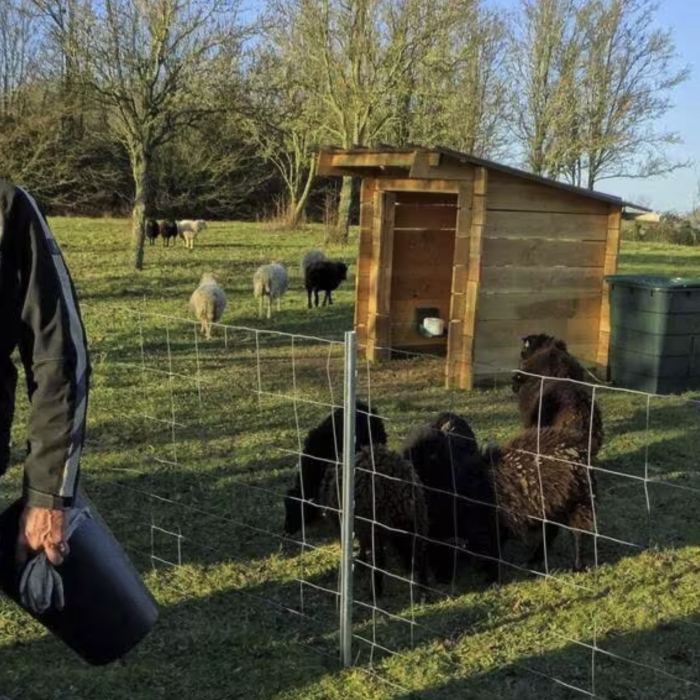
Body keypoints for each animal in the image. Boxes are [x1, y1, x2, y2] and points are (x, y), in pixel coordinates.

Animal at [318, 442, 430, 596]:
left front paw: (361, 560)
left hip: (376, 527)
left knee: (379, 561)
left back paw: (376, 590)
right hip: (419, 521)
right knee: (420, 553)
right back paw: (424, 589)